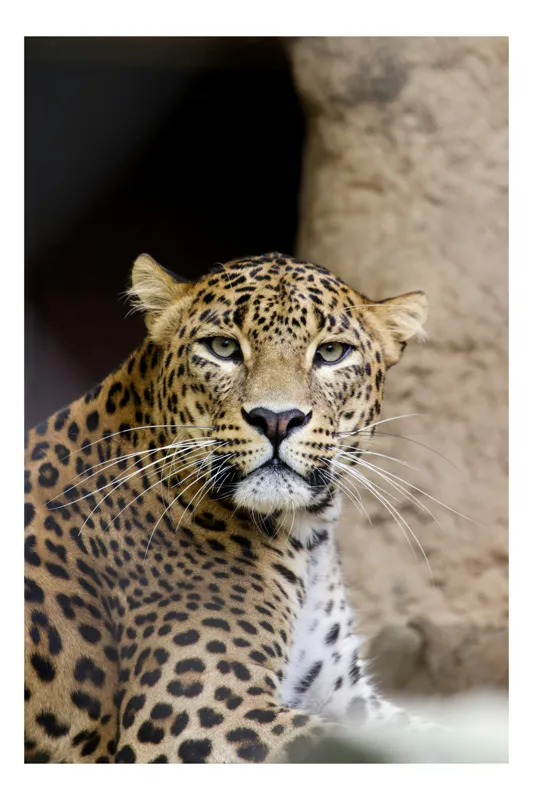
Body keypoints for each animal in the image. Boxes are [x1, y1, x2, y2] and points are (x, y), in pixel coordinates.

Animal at [24, 251, 430, 763]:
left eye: (331, 353)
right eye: (222, 347)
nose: (277, 419)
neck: (306, 534)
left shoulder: (346, 697)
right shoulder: (197, 714)